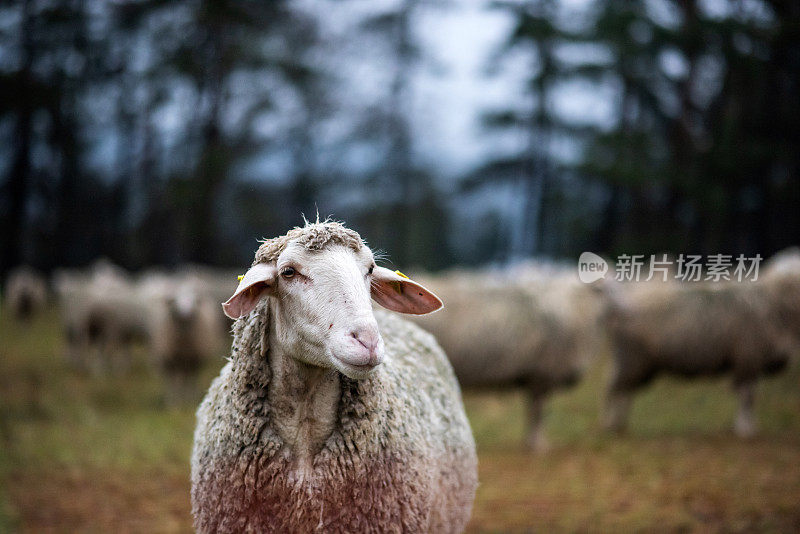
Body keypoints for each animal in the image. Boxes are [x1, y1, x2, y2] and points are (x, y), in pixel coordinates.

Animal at [410, 264, 604, 452]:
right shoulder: (542, 375)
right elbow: (538, 412)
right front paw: (537, 445)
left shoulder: (536, 376)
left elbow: (534, 411)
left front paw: (533, 443)